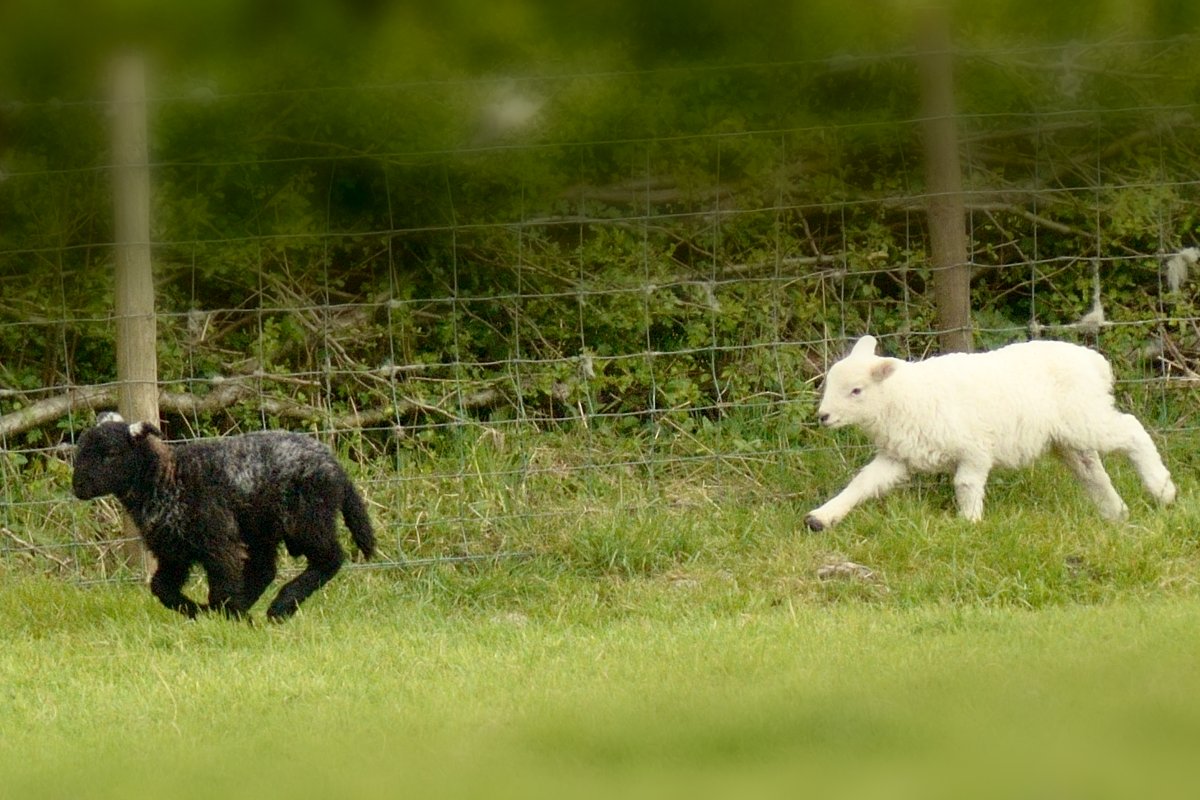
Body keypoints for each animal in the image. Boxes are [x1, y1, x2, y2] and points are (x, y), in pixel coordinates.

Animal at [72, 417, 372, 623]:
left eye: (110, 454)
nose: (77, 487)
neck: (166, 479)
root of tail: (335, 467)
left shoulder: (218, 541)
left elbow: (222, 586)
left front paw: (229, 617)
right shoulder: (173, 552)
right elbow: (161, 588)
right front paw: (198, 612)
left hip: (307, 519)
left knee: (329, 559)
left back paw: (280, 606)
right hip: (262, 527)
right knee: (264, 570)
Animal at [801, 333, 1176, 532]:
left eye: (856, 391)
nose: (823, 416)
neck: (902, 397)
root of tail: (1095, 362)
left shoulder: (975, 448)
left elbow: (965, 484)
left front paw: (969, 523)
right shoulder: (899, 455)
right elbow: (862, 483)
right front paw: (822, 517)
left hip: (1084, 416)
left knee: (1132, 430)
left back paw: (1162, 489)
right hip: (1068, 435)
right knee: (1091, 470)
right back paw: (1116, 514)